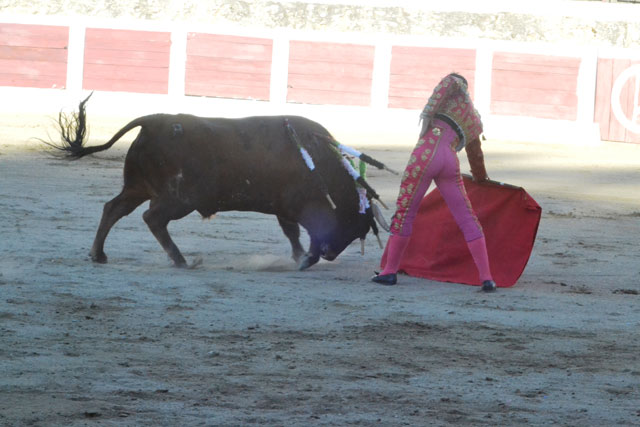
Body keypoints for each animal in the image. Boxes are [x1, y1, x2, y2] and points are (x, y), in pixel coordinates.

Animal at [50, 97, 388, 270]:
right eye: (354, 223)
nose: (332, 254)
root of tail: (155, 120)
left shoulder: (284, 208)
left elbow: (291, 233)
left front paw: (298, 255)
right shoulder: (304, 206)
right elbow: (311, 233)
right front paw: (307, 259)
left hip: (138, 187)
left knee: (113, 208)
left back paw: (99, 254)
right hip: (179, 197)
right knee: (152, 217)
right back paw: (182, 260)